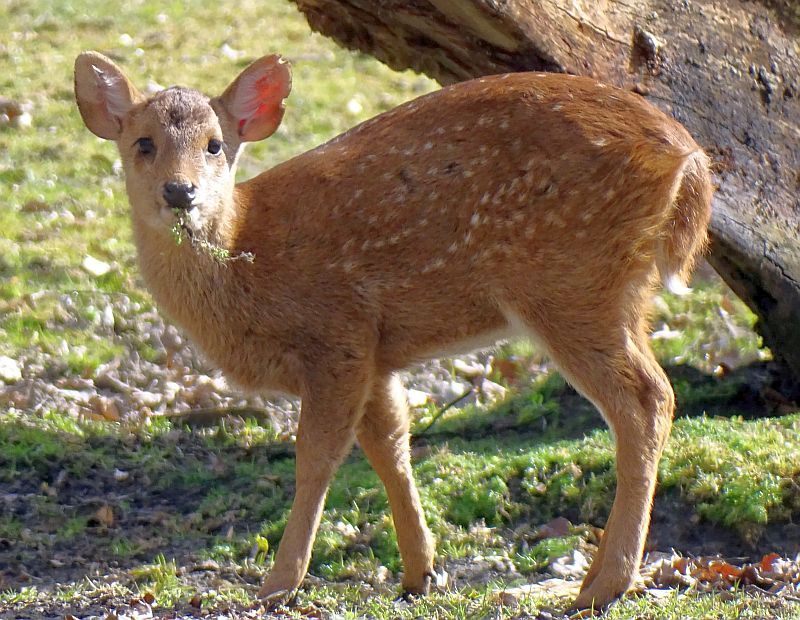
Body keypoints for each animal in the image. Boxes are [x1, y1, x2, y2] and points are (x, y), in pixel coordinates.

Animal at [75, 49, 712, 612]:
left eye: (214, 144)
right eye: (143, 143)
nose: (180, 192)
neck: (247, 258)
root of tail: (691, 159)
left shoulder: (337, 333)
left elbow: (317, 455)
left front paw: (278, 585)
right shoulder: (376, 353)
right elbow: (390, 446)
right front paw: (419, 573)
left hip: (571, 281)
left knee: (647, 398)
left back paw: (604, 585)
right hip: (609, 291)